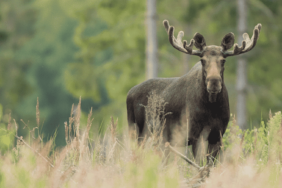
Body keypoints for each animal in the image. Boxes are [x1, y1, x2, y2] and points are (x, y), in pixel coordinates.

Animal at [126, 19, 262, 160]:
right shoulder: (197, 135)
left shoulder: (217, 136)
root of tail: (129, 93)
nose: (214, 82)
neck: (212, 107)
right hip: (136, 131)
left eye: (223, 60)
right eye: (202, 60)